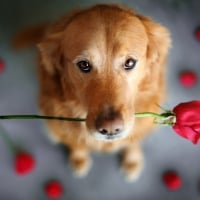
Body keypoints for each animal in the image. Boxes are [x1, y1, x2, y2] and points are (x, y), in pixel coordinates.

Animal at [14, 3, 170, 180]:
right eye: (84, 64)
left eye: (130, 62)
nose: (110, 128)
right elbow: (76, 143)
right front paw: (78, 159)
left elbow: (133, 141)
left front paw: (132, 160)